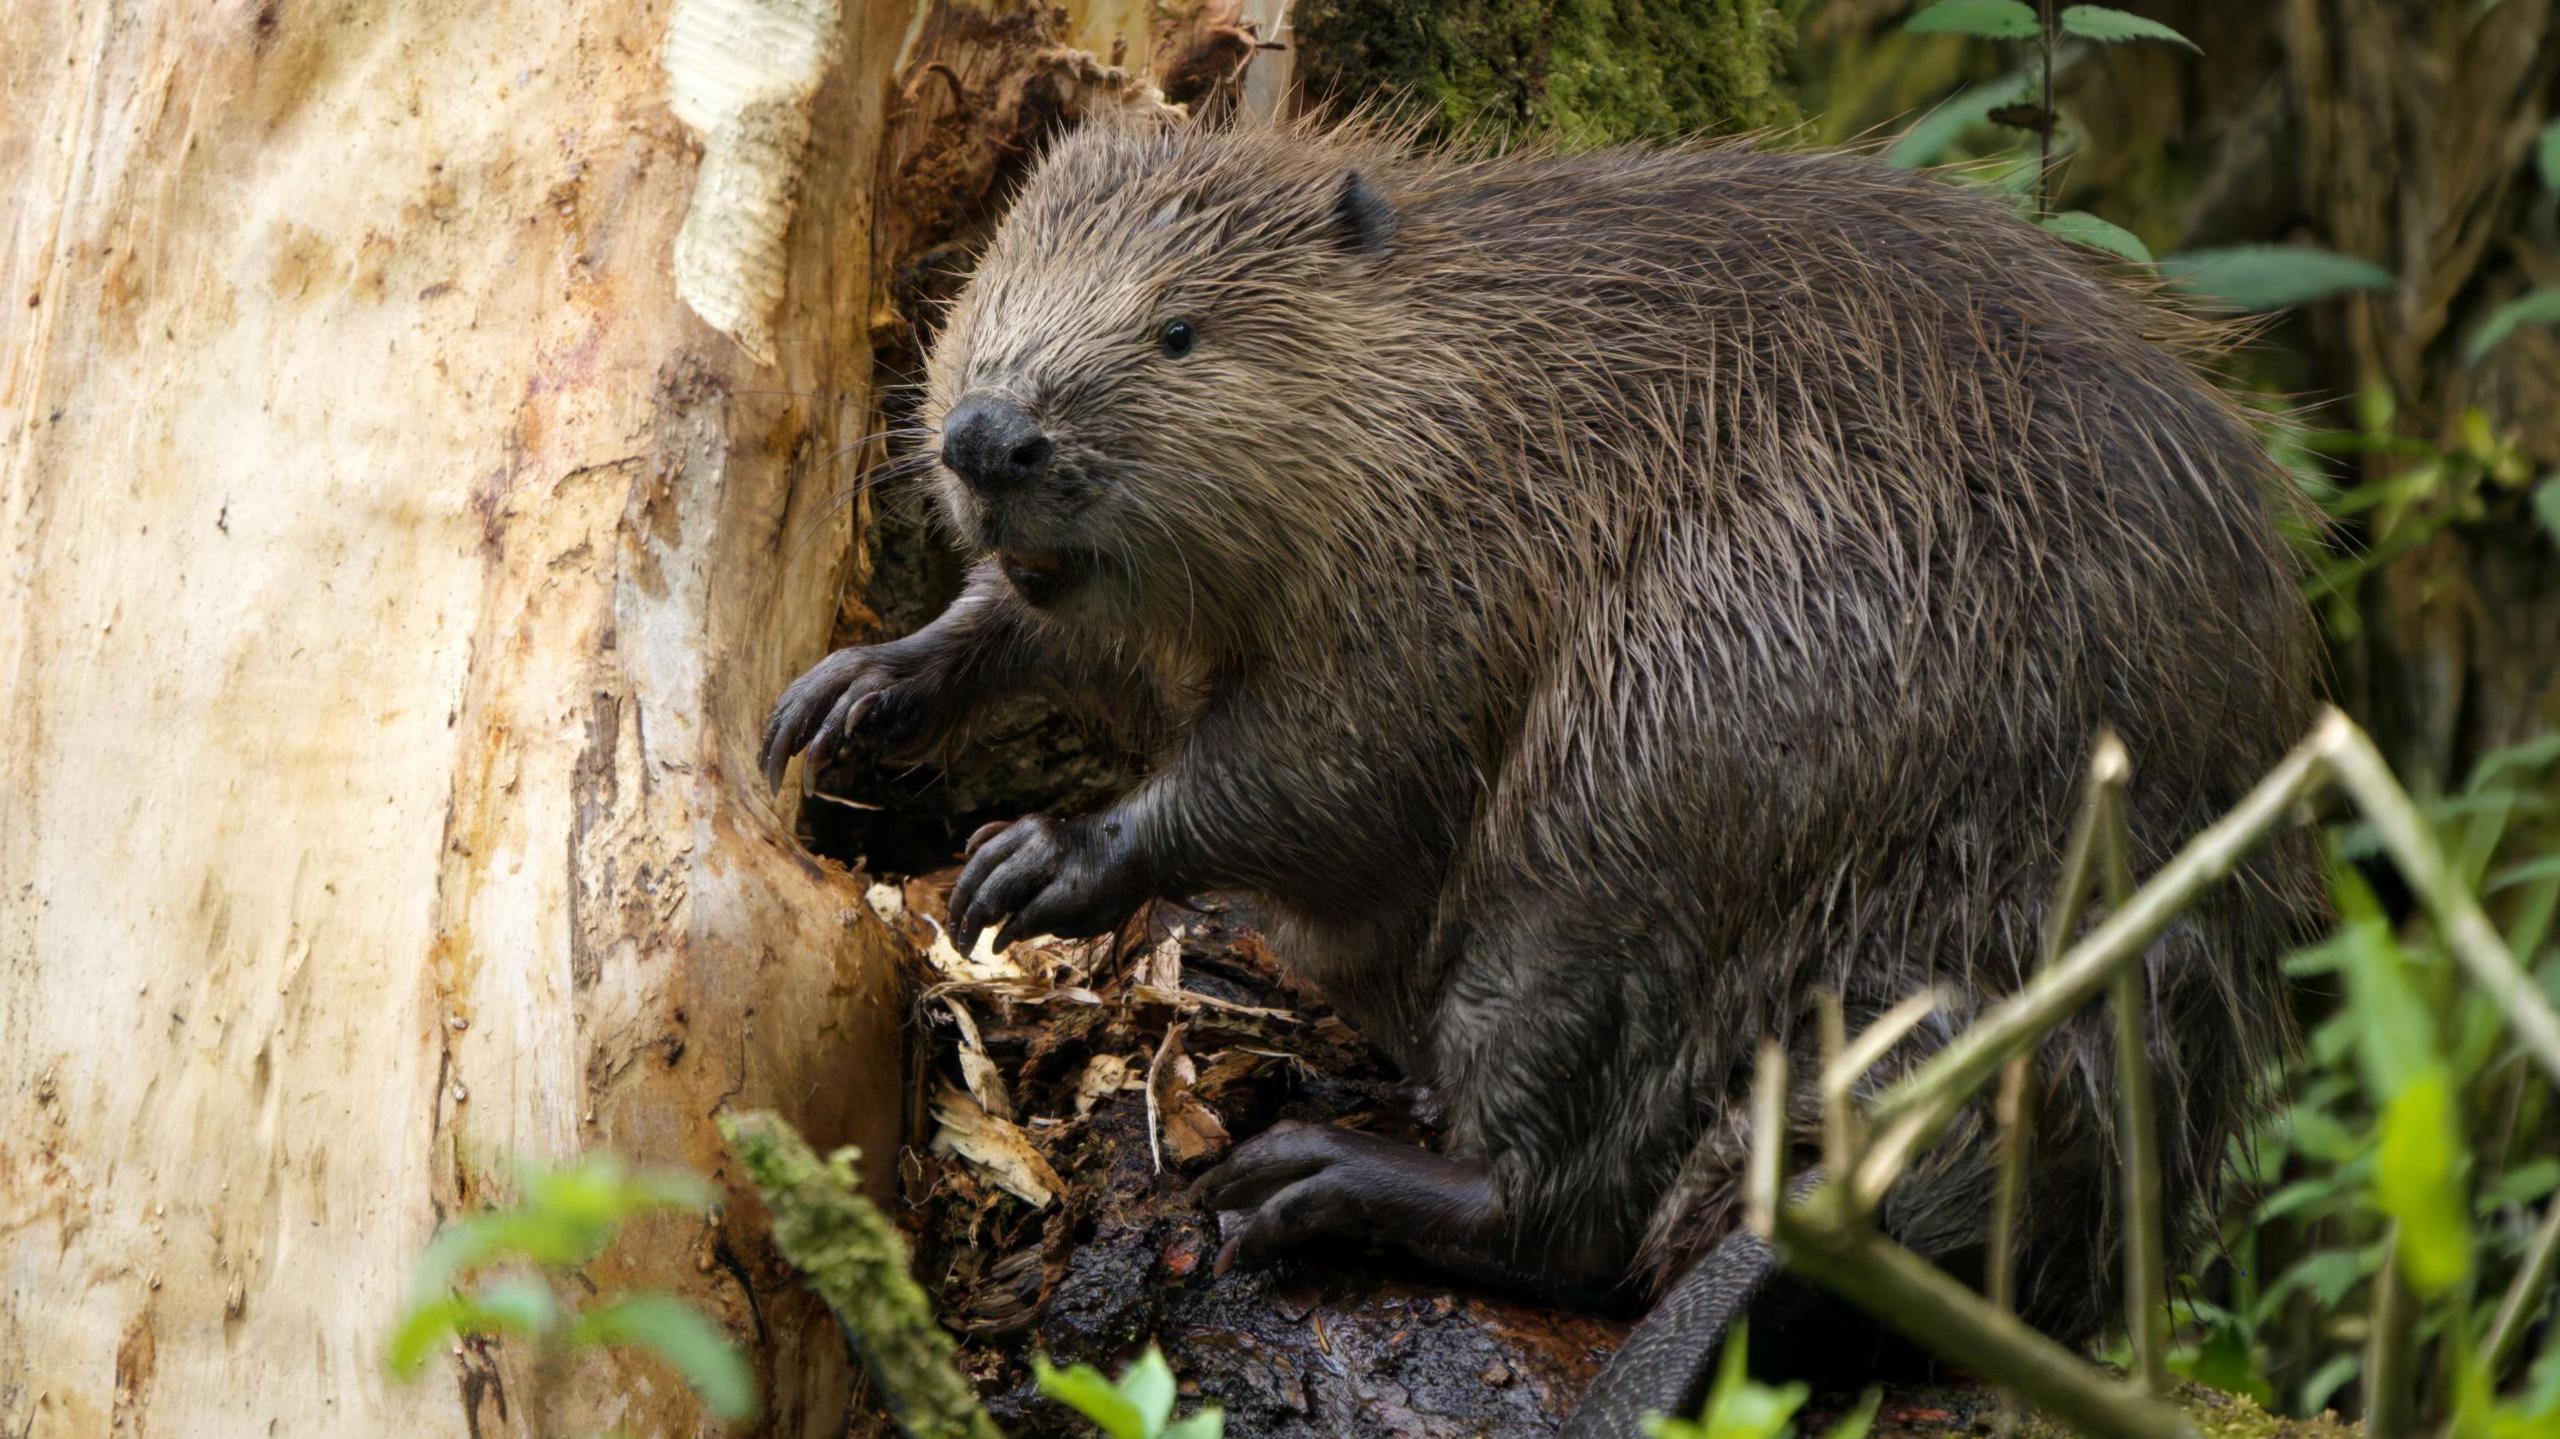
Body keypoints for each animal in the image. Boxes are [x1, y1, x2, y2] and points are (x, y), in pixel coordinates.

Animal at [757, 117, 2324, 1423]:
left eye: (1179, 331)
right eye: (989, 291)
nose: (989, 436)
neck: (1454, 371)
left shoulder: (1450, 554)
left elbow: (1330, 758)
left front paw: (1037, 861)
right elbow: (1049, 631)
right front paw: (853, 689)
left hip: (1652, 782)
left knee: (1569, 1203)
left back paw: (1316, 1168)